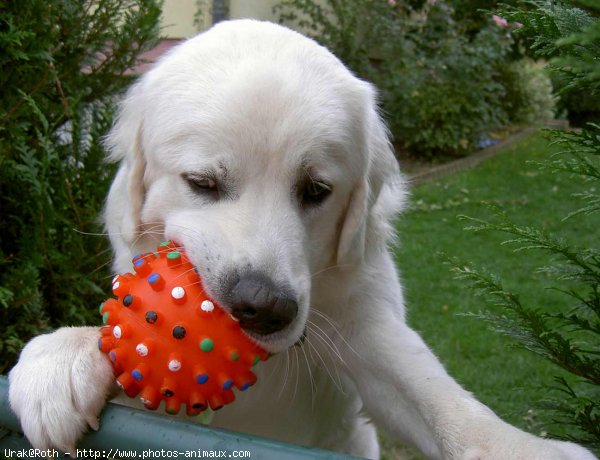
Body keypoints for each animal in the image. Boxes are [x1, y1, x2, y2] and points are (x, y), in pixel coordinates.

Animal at [7, 19, 596, 458]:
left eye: (316, 190)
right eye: (202, 183)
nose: (263, 307)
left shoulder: (365, 324)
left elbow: (429, 389)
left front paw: (520, 447)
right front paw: (63, 356)